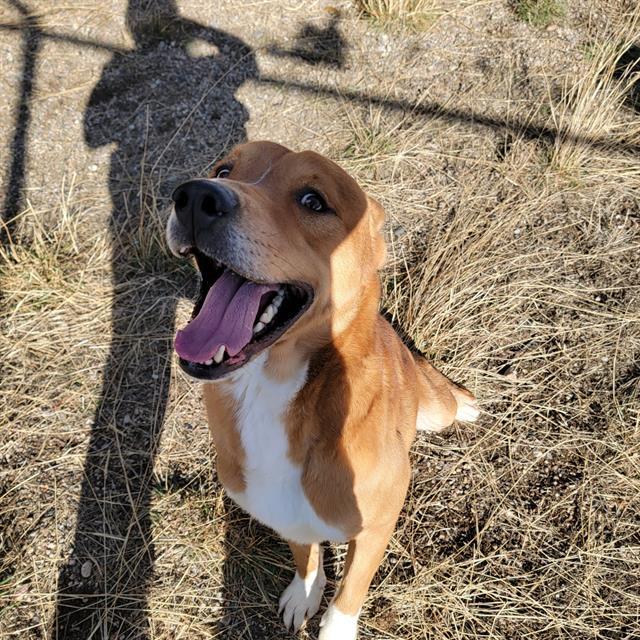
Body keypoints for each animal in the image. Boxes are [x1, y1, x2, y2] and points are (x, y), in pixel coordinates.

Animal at [168, 141, 478, 640]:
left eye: (313, 201)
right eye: (224, 169)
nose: (195, 196)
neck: (271, 389)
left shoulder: (375, 528)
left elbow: (350, 590)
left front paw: (335, 626)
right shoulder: (285, 511)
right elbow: (305, 555)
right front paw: (305, 591)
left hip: (434, 409)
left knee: (440, 392)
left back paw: (465, 403)